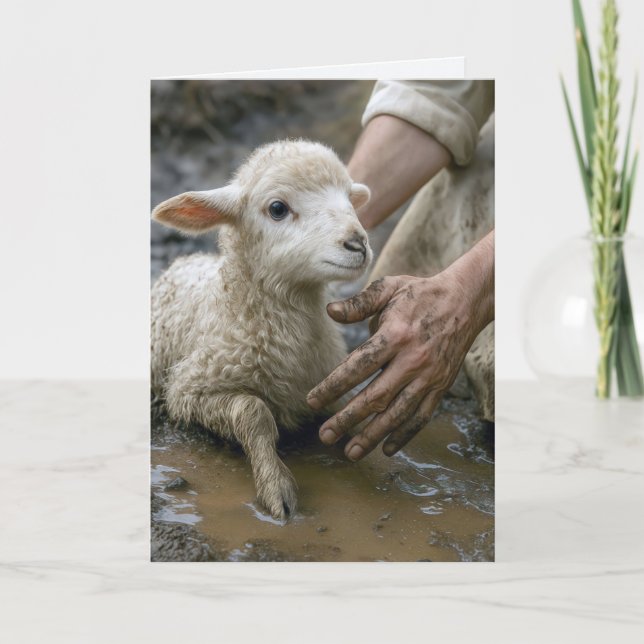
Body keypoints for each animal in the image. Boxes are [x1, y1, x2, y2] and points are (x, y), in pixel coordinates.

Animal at [151, 140, 372, 520]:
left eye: (347, 197)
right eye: (277, 209)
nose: (358, 243)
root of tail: (188, 259)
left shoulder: (324, 380)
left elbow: (349, 406)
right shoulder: (188, 390)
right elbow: (254, 412)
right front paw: (275, 486)